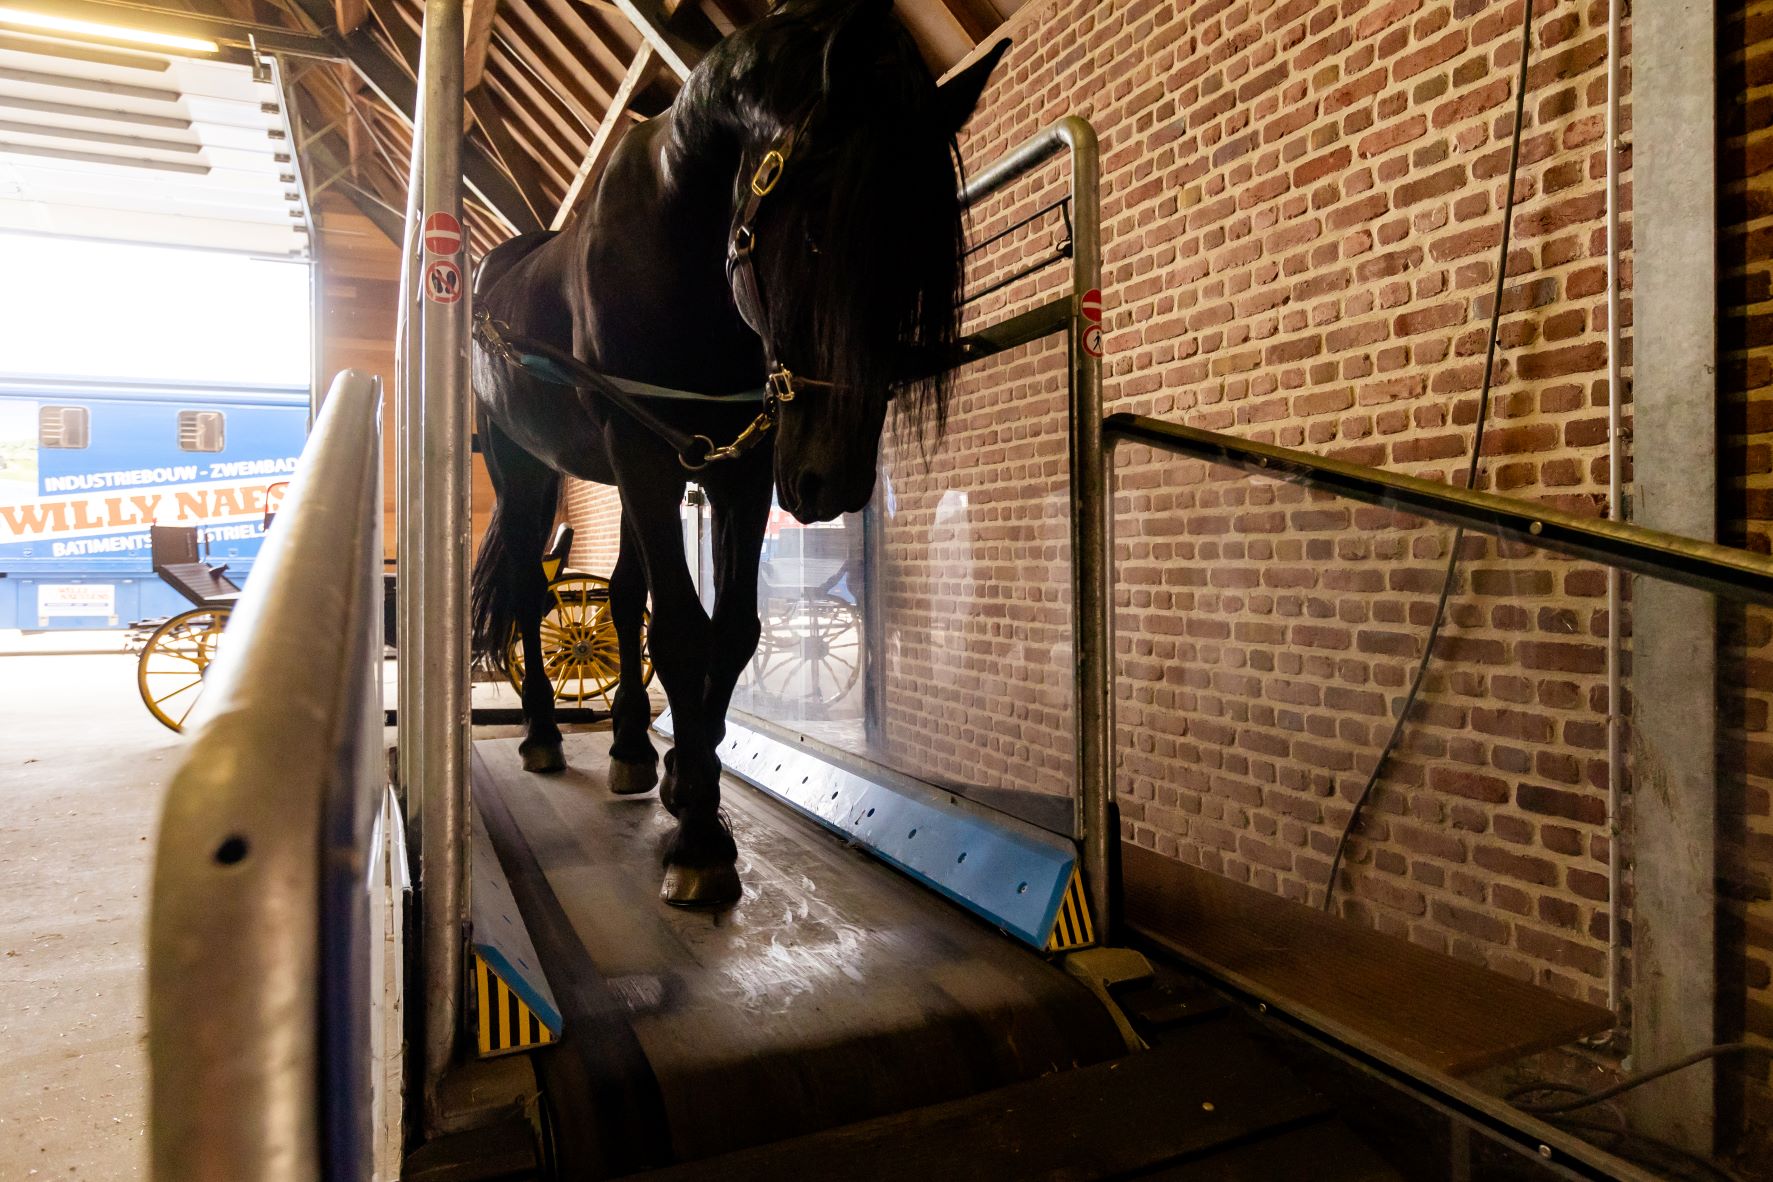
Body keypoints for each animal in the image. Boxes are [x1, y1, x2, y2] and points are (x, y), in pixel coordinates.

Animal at [468, 0, 1006, 907]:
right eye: (820, 233)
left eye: (914, 265)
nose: (830, 480)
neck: (681, 249)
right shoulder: (649, 454)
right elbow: (684, 634)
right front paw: (697, 844)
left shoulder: (736, 464)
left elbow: (735, 632)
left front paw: (689, 780)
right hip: (529, 471)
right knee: (530, 592)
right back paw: (542, 731)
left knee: (620, 598)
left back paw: (630, 748)